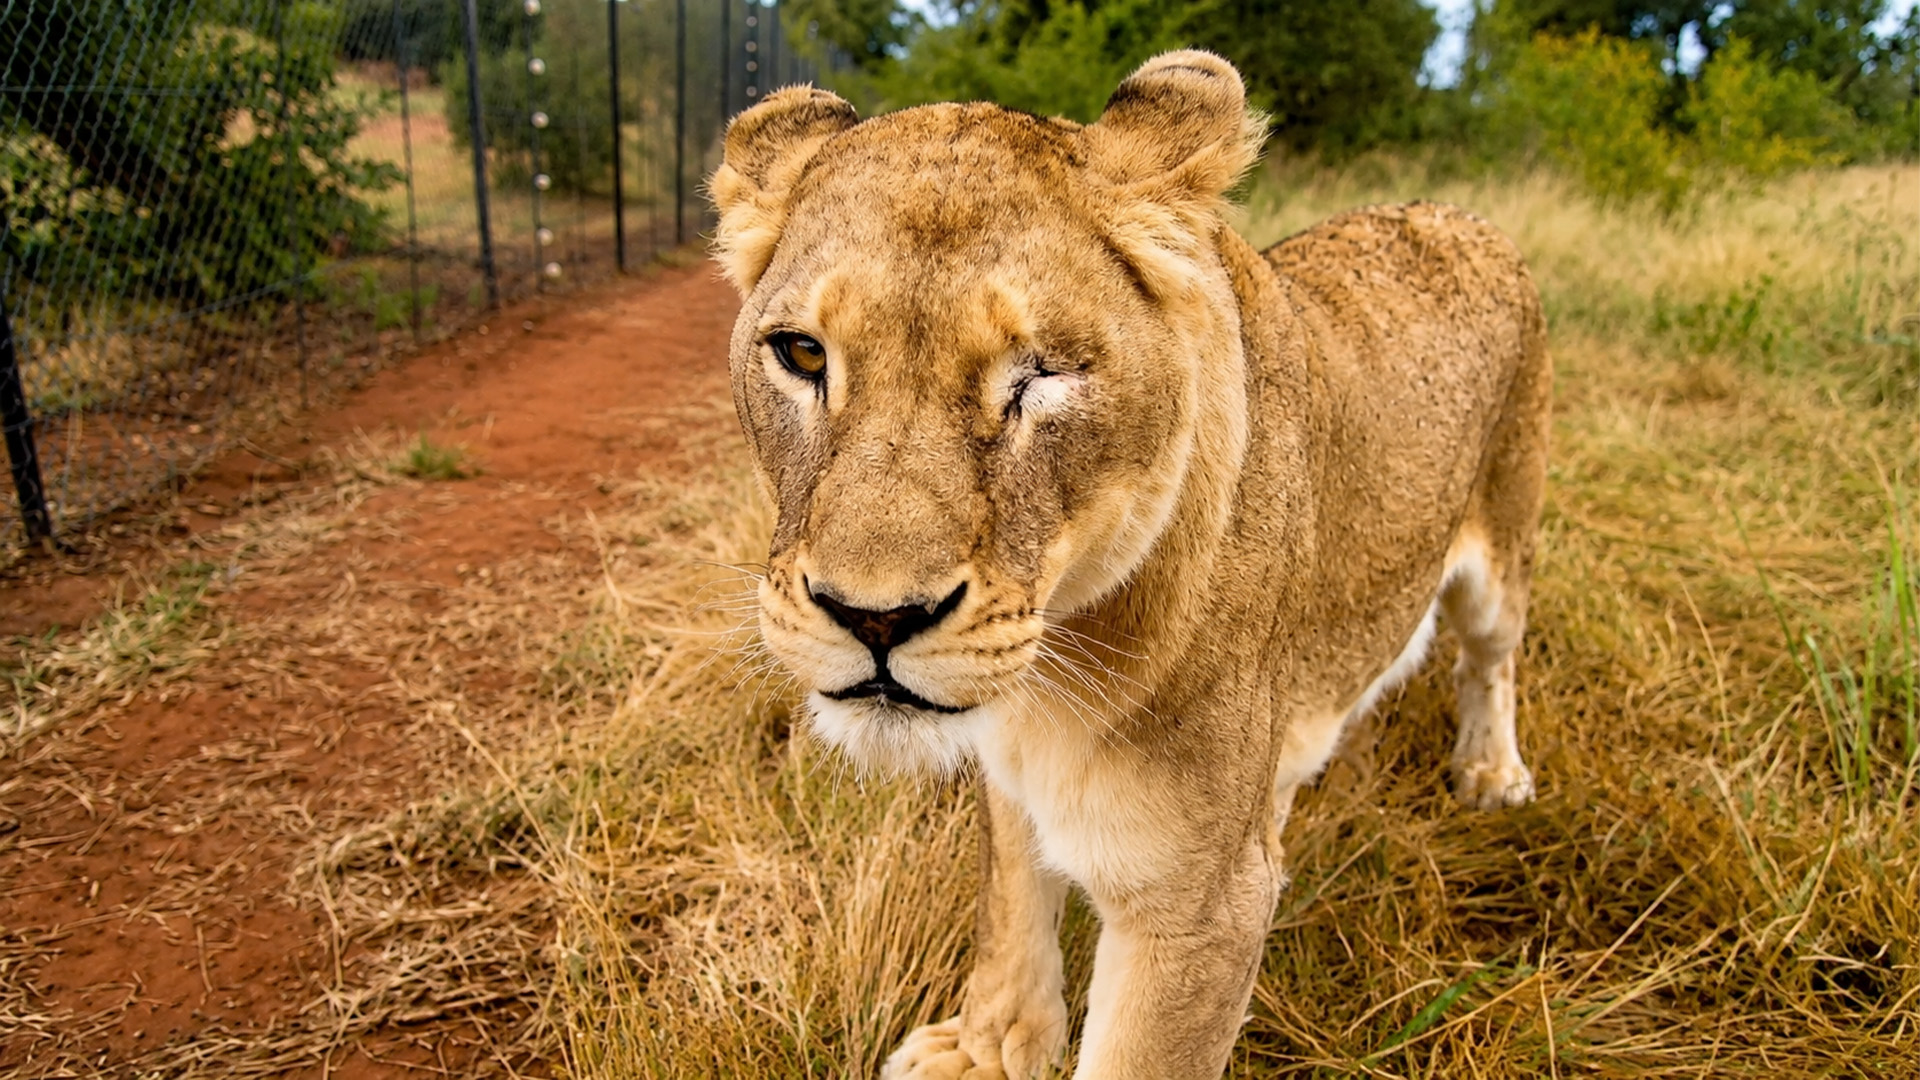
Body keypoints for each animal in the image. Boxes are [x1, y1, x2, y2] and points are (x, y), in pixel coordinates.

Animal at [707, 50, 1548, 1080]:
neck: (1052, 662)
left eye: (1042, 373)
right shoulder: (1009, 767)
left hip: (1505, 539)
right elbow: (1010, 904)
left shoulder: (1203, 906)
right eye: (800, 353)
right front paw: (987, 1050)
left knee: (1491, 657)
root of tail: (1458, 213)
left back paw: (1491, 772)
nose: (874, 618)